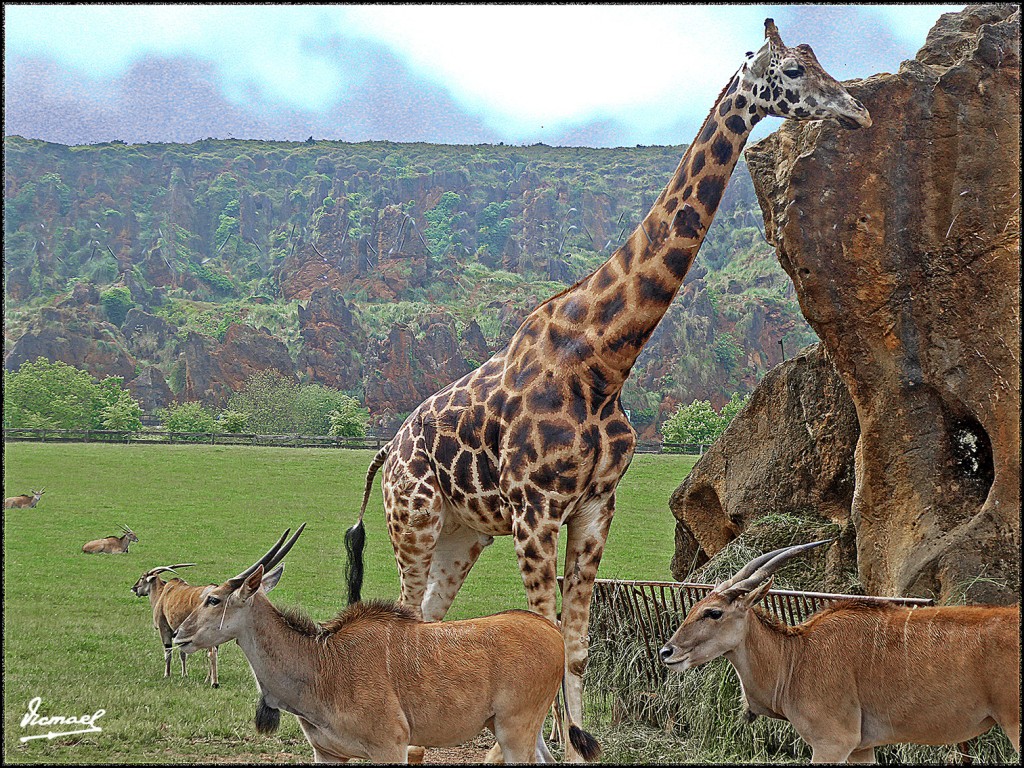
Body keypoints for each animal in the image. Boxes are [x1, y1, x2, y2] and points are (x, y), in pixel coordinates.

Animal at [172, 528, 598, 765]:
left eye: (212, 599)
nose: (178, 636)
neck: (322, 663)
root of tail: (549, 629)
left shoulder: (390, 747)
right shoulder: (327, 753)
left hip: (515, 729)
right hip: (520, 728)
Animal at [346, 18, 872, 757]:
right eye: (793, 70)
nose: (858, 111)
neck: (601, 358)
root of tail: (386, 451)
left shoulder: (595, 505)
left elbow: (574, 646)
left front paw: (565, 745)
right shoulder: (536, 511)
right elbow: (544, 638)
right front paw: (535, 747)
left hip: (462, 533)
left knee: (425, 618)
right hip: (413, 520)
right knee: (402, 616)